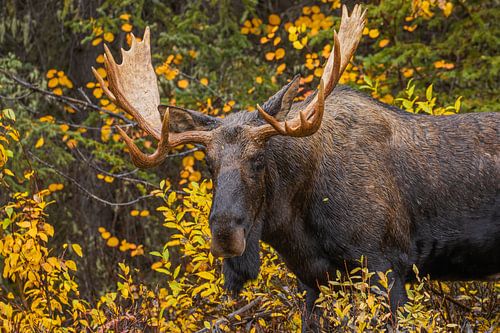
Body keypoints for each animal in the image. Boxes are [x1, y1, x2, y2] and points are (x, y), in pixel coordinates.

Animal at [92, 3, 498, 330]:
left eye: (258, 160)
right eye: (208, 164)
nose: (224, 233)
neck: (297, 222)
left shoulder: (386, 263)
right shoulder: (312, 280)